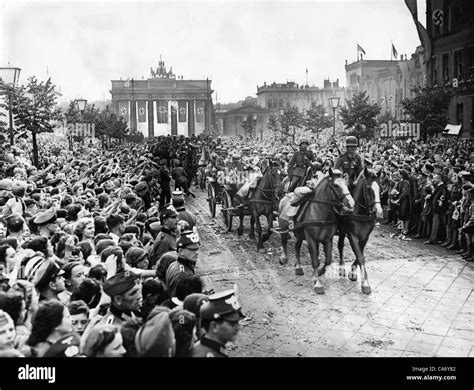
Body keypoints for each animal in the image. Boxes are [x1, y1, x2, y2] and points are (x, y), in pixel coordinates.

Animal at [336, 166, 384, 294]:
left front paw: (353, 272)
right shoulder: (352, 234)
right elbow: (360, 256)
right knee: (340, 245)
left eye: (380, 189)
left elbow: (360, 253)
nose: (379, 211)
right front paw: (365, 283)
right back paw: (341, 267)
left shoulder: (365, 236)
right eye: (368, 188)